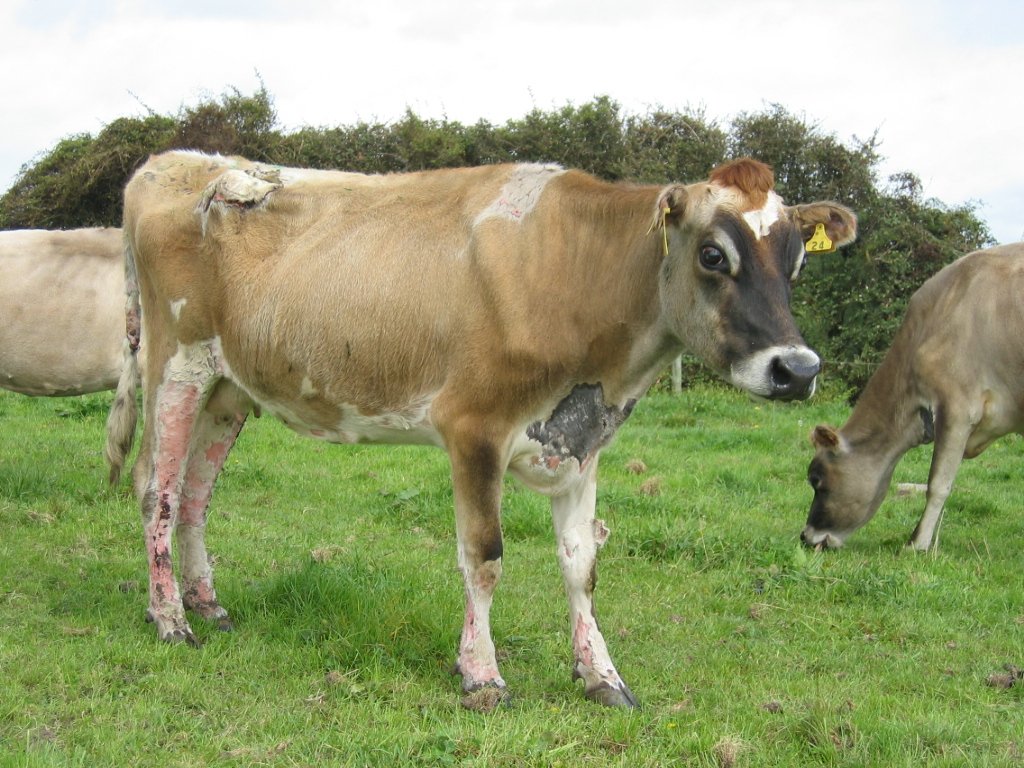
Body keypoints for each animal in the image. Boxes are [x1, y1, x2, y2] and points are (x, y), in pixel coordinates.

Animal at [106, 150, 856, 707]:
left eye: (797, 261)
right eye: (712, 255)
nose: (797, 369)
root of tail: (168, 162)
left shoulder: (581, 442)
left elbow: (582, 565)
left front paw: (601, 674)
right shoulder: (473, 427)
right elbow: (485, 556)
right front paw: (481, 675)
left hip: (229, 387)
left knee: (196, 496)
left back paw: (207, 604)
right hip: (176, 364)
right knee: (156, 491)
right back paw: (170, 620)